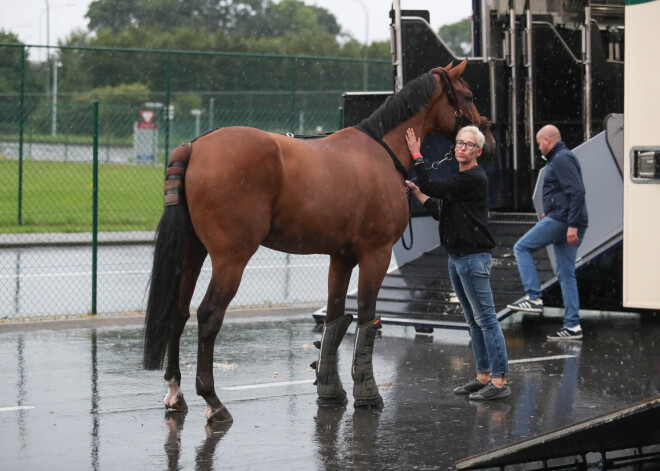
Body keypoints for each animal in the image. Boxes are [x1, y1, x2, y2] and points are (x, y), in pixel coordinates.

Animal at [144, 60, 496, 424]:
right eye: (469, 95)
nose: (488, 140)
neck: (381, 151)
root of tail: (194, 145)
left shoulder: (341, 257)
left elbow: (335, 320)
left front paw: (330, 390)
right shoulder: (376, 255)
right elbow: (367, 317)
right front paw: (367, 394)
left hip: (192, 253)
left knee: (179, 313)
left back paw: (176, 392)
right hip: (231, 259)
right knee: (208, 316)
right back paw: (212, 400)